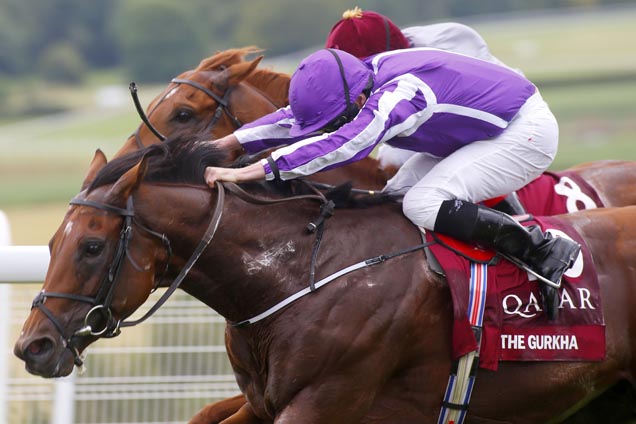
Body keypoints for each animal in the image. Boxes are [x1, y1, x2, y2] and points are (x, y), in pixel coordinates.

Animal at [13, 141, 636, 422]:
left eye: (92, 246)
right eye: (52, 244)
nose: (32, 347)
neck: (297, 275)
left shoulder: (324, 401)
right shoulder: (264, 404)